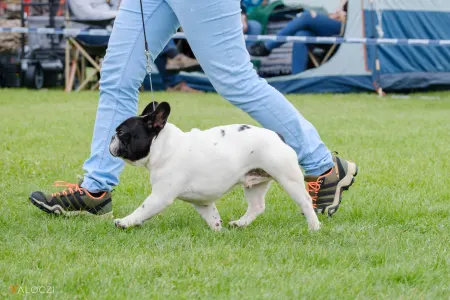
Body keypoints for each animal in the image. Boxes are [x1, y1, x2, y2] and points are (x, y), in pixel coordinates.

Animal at [109, 102, 320, 231]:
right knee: (257, 206)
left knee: (305, 201)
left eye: (122, 132)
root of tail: (278, 136)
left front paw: (125, 222)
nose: (111, 137)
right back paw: (240, 223)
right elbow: (211, 215)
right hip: (255, 182)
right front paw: (218, 230)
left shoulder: (160, 196)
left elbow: (142, 209)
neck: (163, 146)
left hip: (287, 177)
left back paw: (314, 227)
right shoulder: (201, 200)